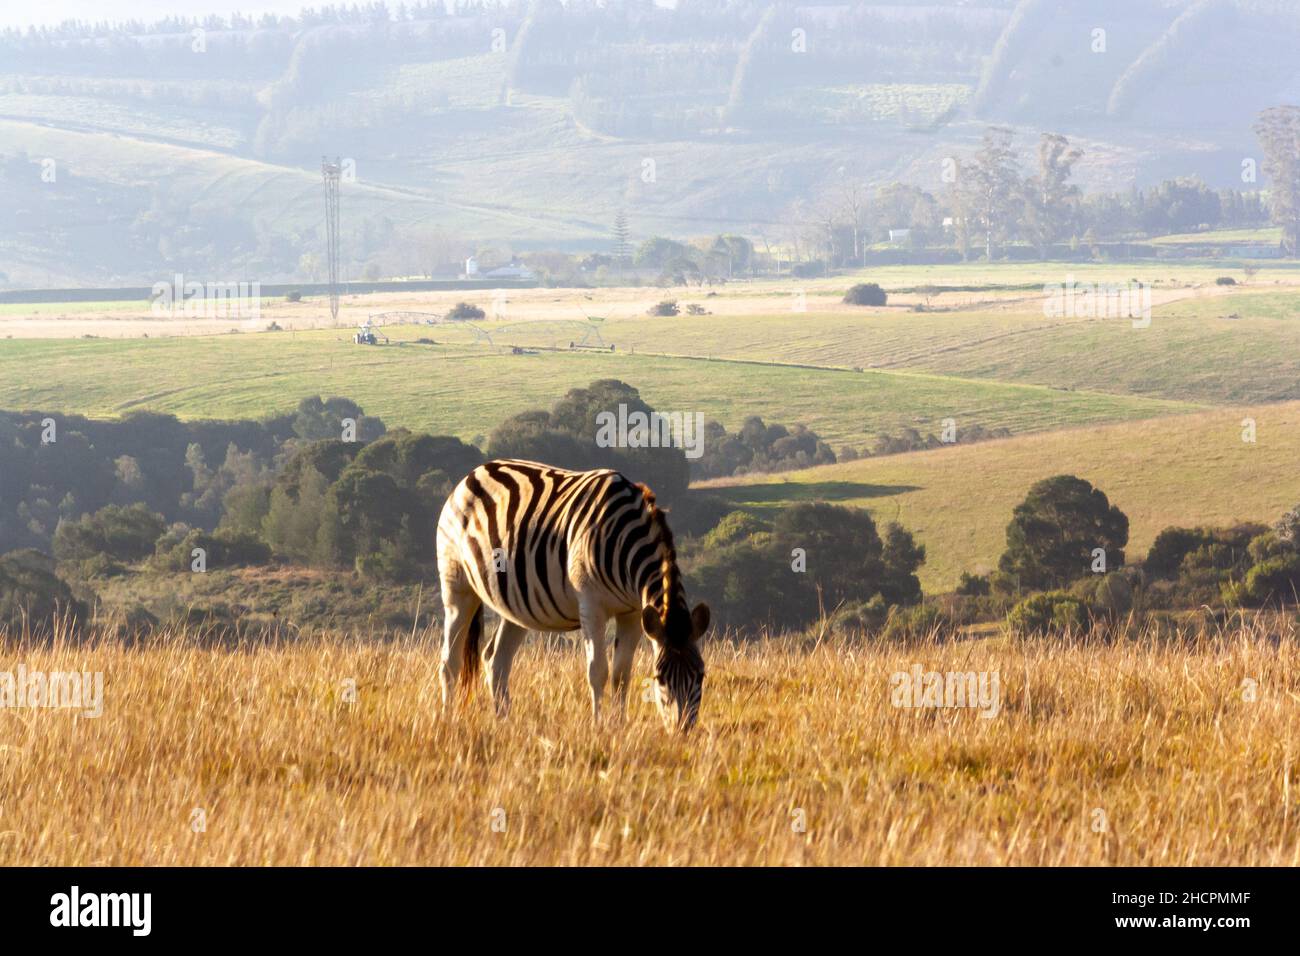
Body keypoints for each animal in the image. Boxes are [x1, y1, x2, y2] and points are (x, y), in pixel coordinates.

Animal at [436, 460, 707, 728]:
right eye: (659, 678)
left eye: (701, 675)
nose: (683, 729)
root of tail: (475, 472)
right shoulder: (591, 605)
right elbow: (598, 671)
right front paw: (599, 726)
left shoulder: (633, 613)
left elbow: (621, 674)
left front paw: (619, 726)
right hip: (456, 585)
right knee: (450, 662)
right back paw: (449, 719)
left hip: (516, 607)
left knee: (496, 660)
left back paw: (504, 722)